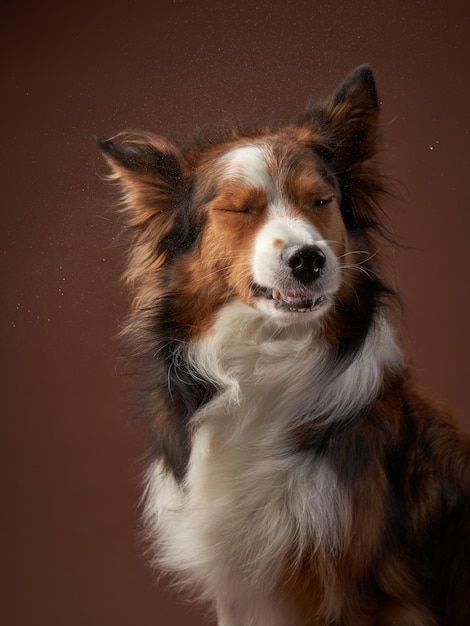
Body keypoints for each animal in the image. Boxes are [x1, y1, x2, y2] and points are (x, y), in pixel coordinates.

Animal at [96, 66, 470, 620]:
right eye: (238, 209)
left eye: (320, 201)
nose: (308, 259)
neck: (265, 363)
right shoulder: (238, 587)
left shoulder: (354, 588)